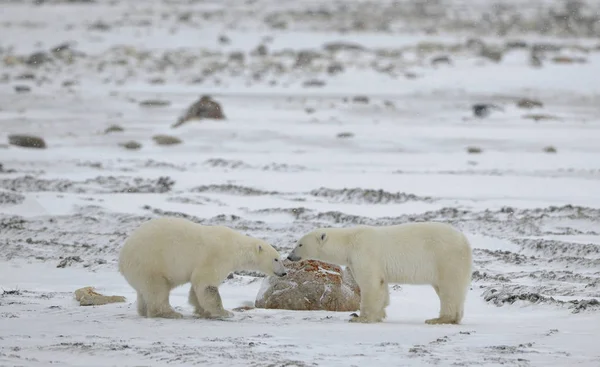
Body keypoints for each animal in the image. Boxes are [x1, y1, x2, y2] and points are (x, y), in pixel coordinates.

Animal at [118, 217, 288, 320]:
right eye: (276, 259)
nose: (284, 272)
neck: (236, 247)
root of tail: (122, 258)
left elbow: (197, 287)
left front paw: (202, 311)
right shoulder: (217, 256)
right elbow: (206, 283)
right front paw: (224, 312)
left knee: (145, 290)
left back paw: (143, 310)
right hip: (150, 262)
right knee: (157, 289)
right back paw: (170, 313)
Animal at [288, 221, 474, 324]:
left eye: (299, 244)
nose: (290, 256)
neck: (349, 241)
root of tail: (465, 241)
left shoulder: (364, 253)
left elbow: (370, 284)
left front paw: (360, 317)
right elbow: (382, 286)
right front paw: (379, 314)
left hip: (446, 258)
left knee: (449, 289)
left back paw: (439, 319)